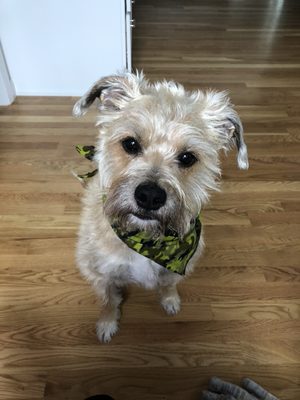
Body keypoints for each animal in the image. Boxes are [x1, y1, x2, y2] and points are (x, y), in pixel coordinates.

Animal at [72, 71, 248, 340]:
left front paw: (170, 301)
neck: (145, 238)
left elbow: (168, 285)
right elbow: (109, 300)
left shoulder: (177, 268)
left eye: (187, 157)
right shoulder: (103, 274)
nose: (150, 196)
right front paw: (107, 322)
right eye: (130, 144)